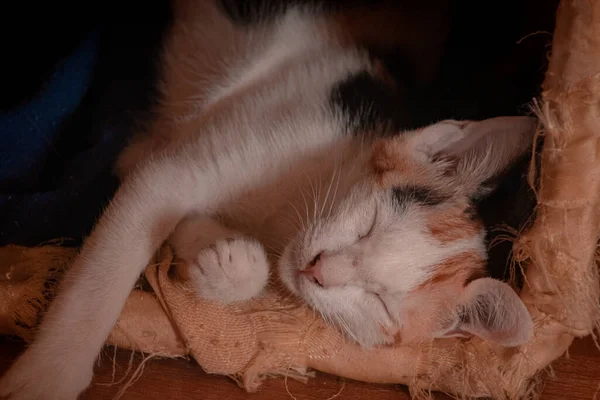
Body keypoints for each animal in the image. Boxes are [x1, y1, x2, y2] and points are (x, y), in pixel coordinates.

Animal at [0, 1, 536, 398]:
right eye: (372, 223)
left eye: (380, 305)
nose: (320, 269)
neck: (290, 205)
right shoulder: (166, 169)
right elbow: (104, 276)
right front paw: (45, 379)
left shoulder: (155, 162)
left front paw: (224, 261)